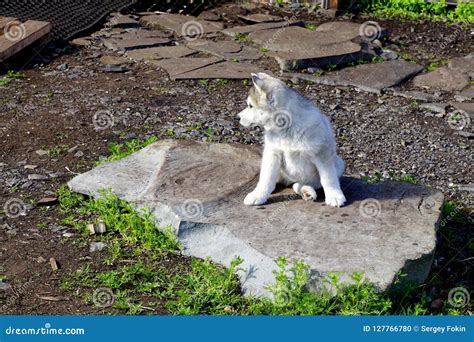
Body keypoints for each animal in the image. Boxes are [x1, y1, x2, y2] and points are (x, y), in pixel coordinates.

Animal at [237, 72, 344, 206]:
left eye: (250, 106)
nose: (237, 117)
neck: (287, 127)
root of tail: (287, 181)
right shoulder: (272, 153)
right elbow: (266, 178)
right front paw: (258, 195)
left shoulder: (322, 153)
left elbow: (328, 178)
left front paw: (334, 196)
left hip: (338, 163)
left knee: (300, 184)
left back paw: (307, 191)